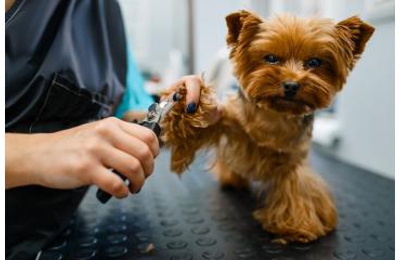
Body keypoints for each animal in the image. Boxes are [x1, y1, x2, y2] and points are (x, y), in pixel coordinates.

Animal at [161, 9, 374, 243]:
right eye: (271, 58)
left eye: (314, 62)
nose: (291, 85)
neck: (275, 115)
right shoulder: (229, 124)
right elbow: (208, 123)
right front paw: (185, 103)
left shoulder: (292, 159)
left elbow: (297, 187)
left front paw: (297, 225)